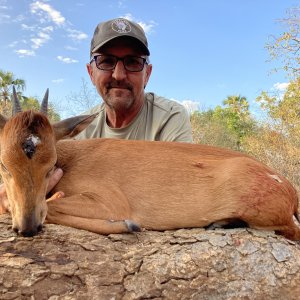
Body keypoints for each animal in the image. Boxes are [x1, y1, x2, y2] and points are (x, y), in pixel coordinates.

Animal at [0, 88, 298, 240]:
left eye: (51, 165)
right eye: (4, 165)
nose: (27, 227)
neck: (72, 159)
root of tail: (289, 190)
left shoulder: (110, 202)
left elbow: (51, 207)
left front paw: (129, 225)